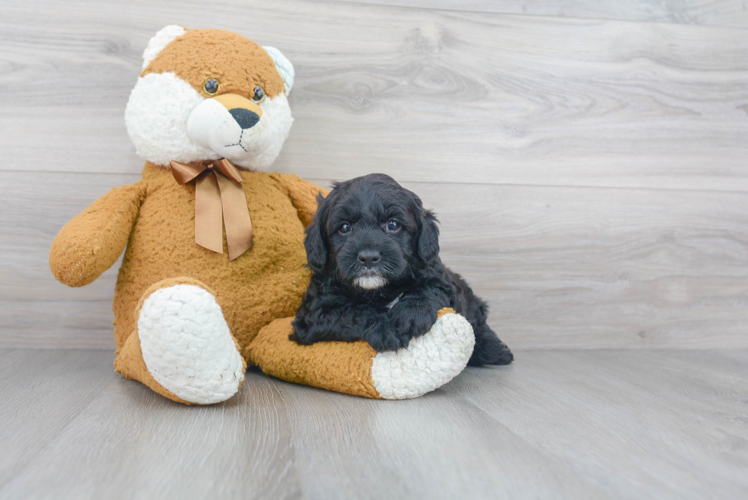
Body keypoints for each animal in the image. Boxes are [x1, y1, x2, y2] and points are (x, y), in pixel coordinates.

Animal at [292, 174, 516, 366]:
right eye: (345, 227)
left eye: (392, 225)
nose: (368, 257)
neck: (378, 291)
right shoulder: (313, 314)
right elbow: (351, 312)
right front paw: (385, 329)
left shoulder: (439, 278)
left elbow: (429, 289)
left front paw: (411, 314)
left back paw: (495, 350)